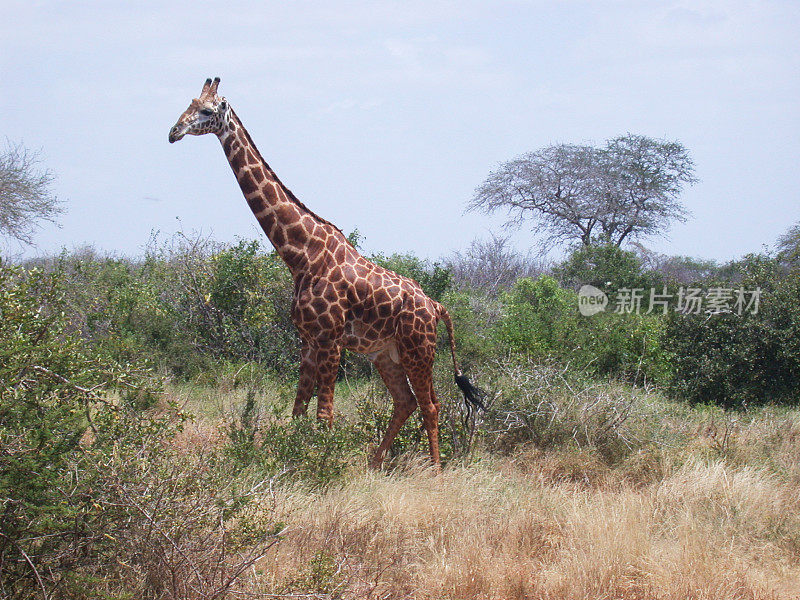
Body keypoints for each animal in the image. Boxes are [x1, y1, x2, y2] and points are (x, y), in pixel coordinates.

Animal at [168, 77, 482, 466]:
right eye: (189, 103)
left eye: (207, 110)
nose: (173, 132)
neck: (301, 254)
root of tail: (437, 306)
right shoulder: (307, 340)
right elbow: (298, 409)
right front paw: (294, 461)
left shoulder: (331, 340)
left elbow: (324, 414)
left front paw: (325, 464)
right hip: (385, 353)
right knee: (406, 401)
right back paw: (375, 463)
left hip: (419, 348)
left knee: (431, 405)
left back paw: (435, 470)